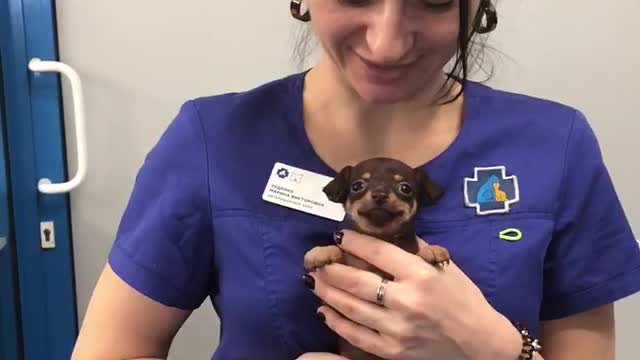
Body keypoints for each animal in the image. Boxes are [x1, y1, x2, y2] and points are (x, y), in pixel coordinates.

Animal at [304, 157, 450, 360]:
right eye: (357, 186)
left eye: (405, 188)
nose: (380, 194)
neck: (381, 237)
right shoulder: (334, 305)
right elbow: (340, 253)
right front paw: (321, 252)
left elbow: (417, 254)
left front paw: (432, 250)